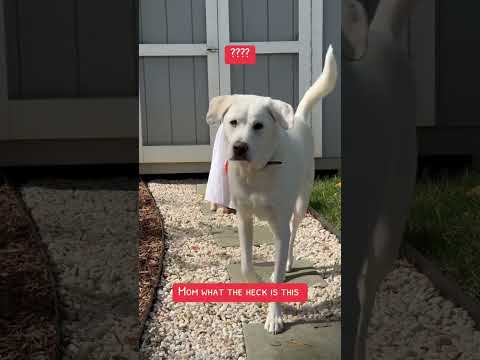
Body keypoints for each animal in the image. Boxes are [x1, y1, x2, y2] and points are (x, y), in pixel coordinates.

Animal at [206, 45, 338, 334]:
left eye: (258, 125)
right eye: (233, 122)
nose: (239, 147)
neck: (258, 171)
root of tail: (298, 118)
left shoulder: (279, 226)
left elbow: (277, 273)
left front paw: (275, 316)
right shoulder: (244, 219)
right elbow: (246, 266)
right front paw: (258, 285)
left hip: (301, 203)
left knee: (293, 231)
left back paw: (288, 262)